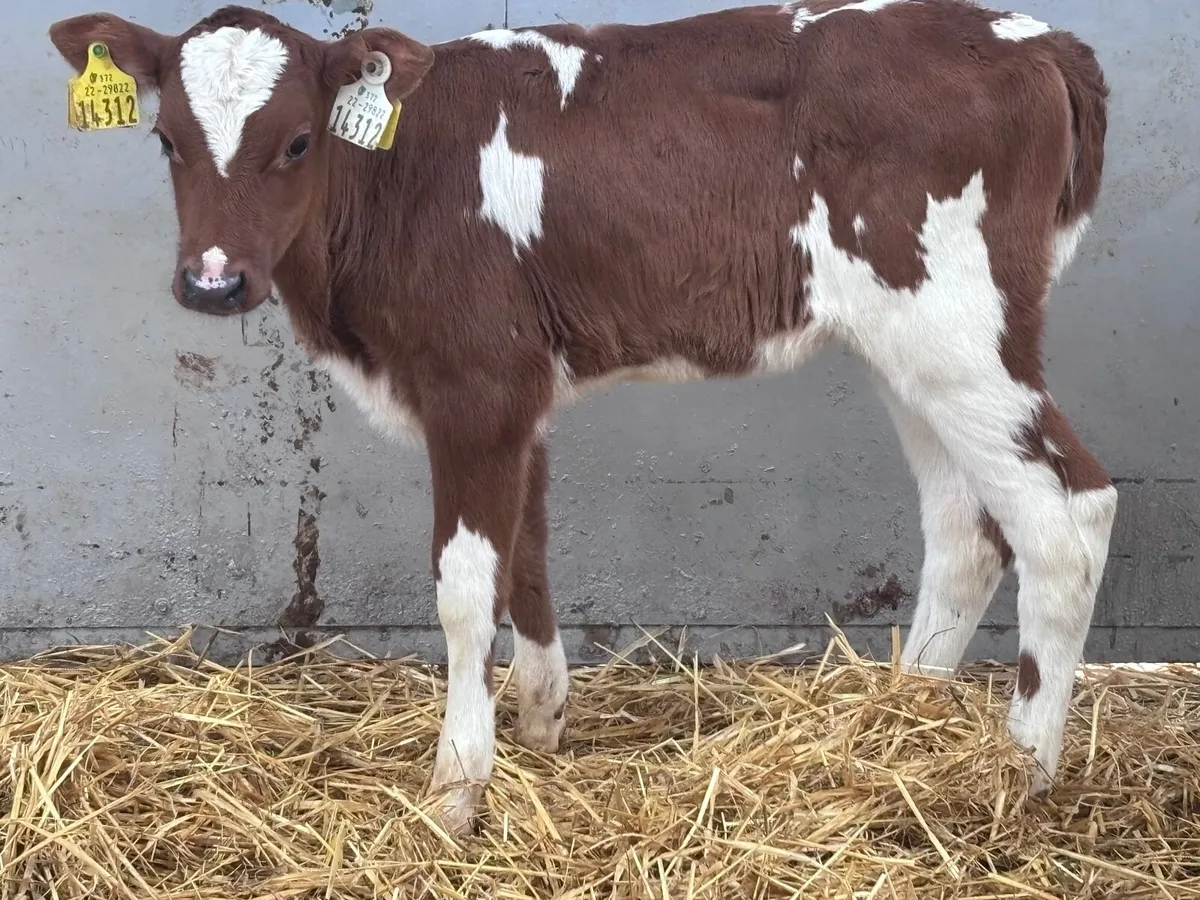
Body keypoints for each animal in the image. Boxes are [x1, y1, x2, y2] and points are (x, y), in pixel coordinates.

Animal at [49, 0, 1114, 834]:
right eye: (167, 141)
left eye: (299, 140)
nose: (213, 281)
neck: (396, 179)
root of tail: (1035, 37)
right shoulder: (519, 392)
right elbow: (526, 554)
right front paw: (540, 728)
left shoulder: (474, 385)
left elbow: (463, 586)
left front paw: (456, 789)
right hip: (908, 347)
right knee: (965, 528)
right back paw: (902, 723)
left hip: (961, 328)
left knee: (1065, 516)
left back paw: (1022, 772)